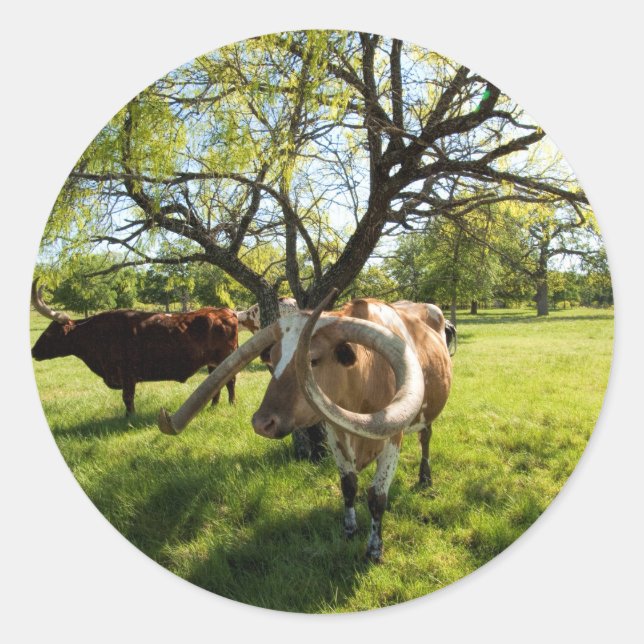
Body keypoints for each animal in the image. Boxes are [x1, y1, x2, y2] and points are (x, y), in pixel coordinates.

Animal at [31, 281, 238, 415]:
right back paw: (213, 406)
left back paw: (231, 404)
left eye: (49, 334)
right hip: (213, 363)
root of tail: (224, 312)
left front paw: (129, 418)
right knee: (217, 382)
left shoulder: (127, 375)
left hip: (225, 358)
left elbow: (127, 398)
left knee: (230, 381)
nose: (33, 351)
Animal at [158, 292, 452, 562]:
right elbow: (348, 484)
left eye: (313, 360)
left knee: (426, 438)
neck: (368, 375)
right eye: (273, 359)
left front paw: (374, 549)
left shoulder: (393, 439)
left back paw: (425, 478)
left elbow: (377, 497)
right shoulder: (335, 433)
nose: (262, 423)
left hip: (427, 417)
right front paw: (349, 530)